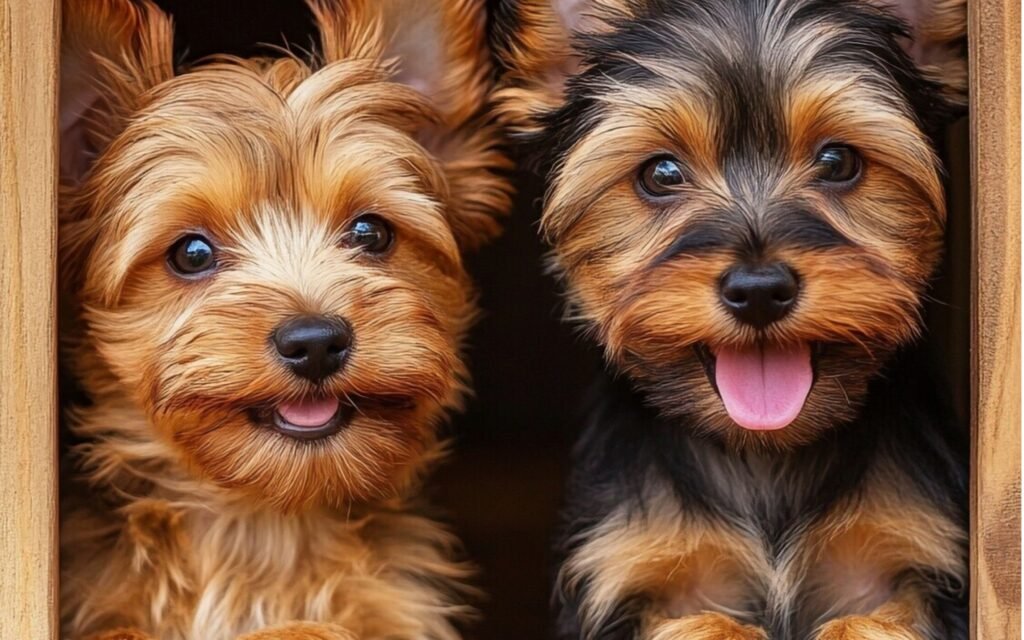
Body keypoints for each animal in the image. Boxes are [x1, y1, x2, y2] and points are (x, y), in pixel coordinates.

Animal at [495, 0, 966, 634]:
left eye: (838, 161)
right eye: (661, 174)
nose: (759, 290)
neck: (761, 454)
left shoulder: (926, 559)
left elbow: (876, 618)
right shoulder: (623, 568)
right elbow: (700, 620)